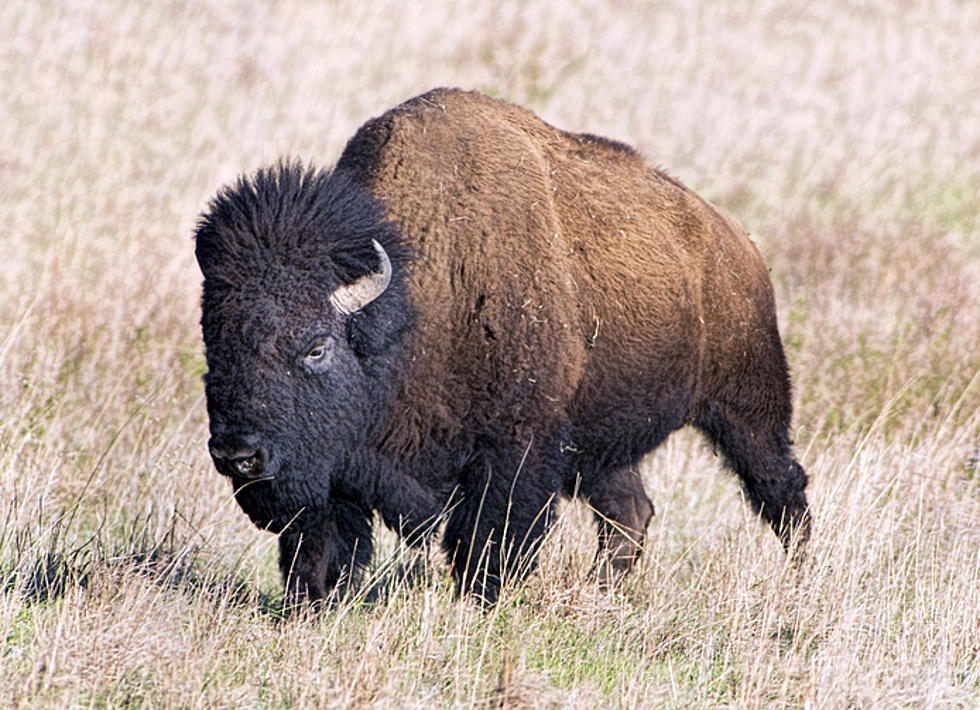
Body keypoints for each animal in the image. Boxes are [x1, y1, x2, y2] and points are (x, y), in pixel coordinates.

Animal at [193, 85, 812, 608]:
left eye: (316, 347)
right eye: (214, 342)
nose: (238, 454)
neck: (411, 304)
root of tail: (737, 243)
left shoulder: (515, 449)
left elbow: (486, 541)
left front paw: (479, 603)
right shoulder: (337, 467)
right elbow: (320, 543)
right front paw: (311, 603)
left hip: (748, 407)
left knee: (781, 490)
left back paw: (801, 577)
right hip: (599, 440)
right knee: (629, 513)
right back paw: (600, 594)